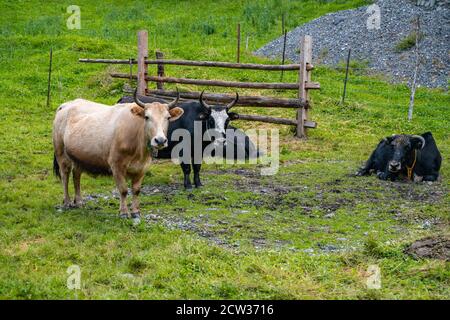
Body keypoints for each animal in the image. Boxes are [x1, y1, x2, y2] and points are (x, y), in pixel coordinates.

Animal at [53, 90, 185, 220]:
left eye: (168, 117)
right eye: (147, 117)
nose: (160, 140)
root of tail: (66, 104)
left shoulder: (142, 167)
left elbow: (136, 190)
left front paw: (136, 212)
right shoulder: (116, 165)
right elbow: (123, 190)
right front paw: (123, 212)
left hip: (78, 157)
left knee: (76, 175)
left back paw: (79, 201)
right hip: (61, 153)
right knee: (65, 175)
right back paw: (67, 202)